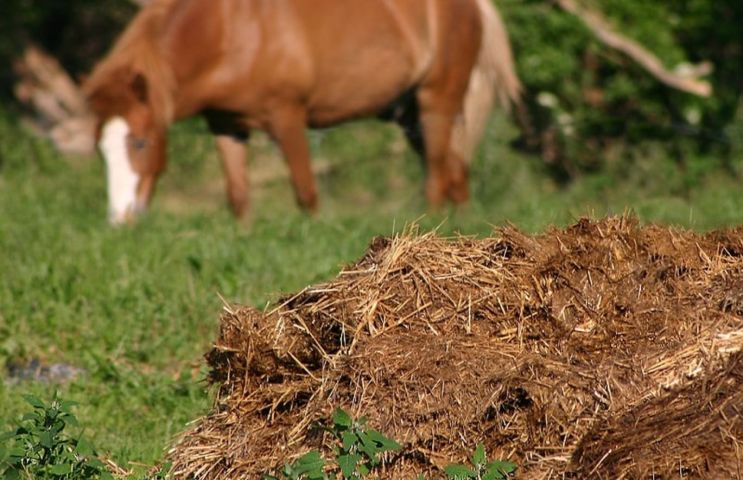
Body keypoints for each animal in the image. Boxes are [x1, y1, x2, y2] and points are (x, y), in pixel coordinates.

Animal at [84, 0, 520, 224]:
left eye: (141, 142)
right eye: (101, 150)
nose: (120, 218)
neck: (230, 31)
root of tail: (474, 6)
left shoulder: (287, 116)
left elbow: (306, 192)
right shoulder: (226, 125)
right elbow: (238, 196)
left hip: (436, 101)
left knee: (436, 174)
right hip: (409, 114)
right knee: (455, 171)